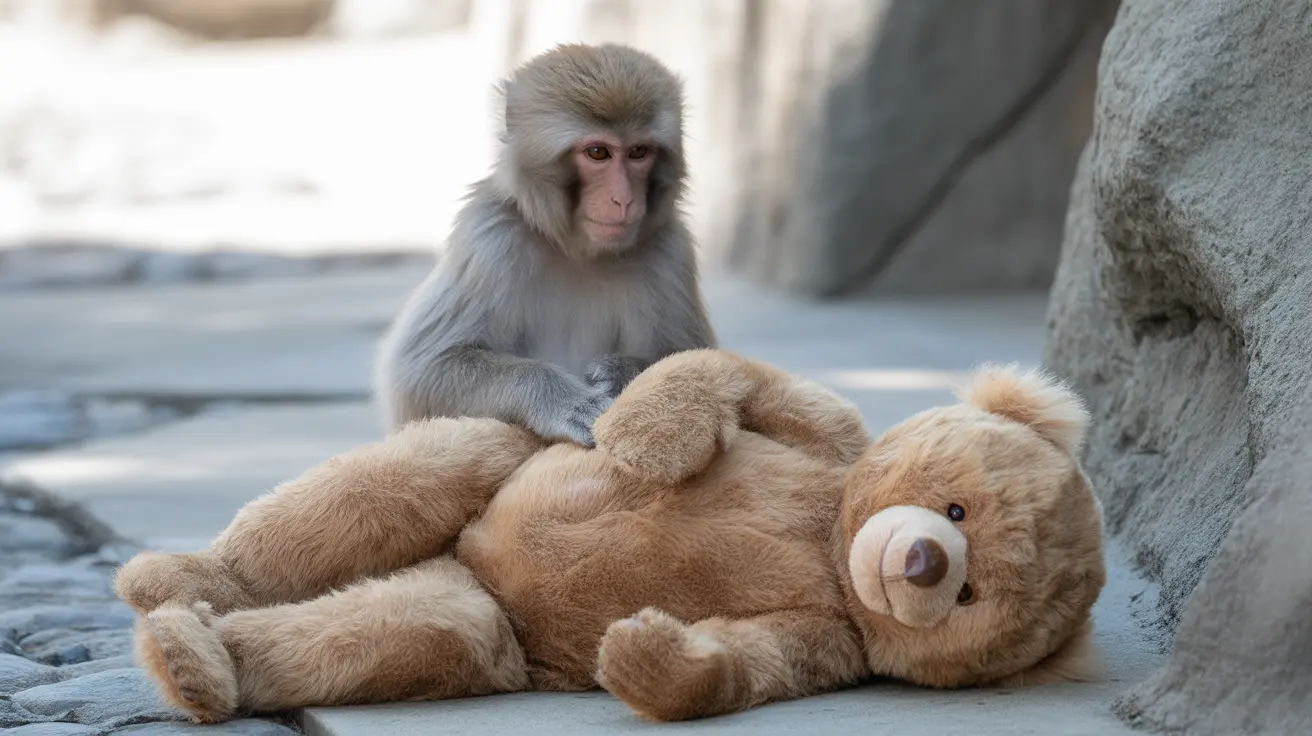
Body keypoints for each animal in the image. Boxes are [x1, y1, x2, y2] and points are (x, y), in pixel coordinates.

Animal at [374, 43, 717, 447]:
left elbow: (695, 360)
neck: (579, 252)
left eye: (638, 152)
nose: (624, 200)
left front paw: (620, 371)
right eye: (598, 153)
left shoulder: (671, 251)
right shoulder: (489, 236)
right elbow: (422, 369)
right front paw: (564, 400)